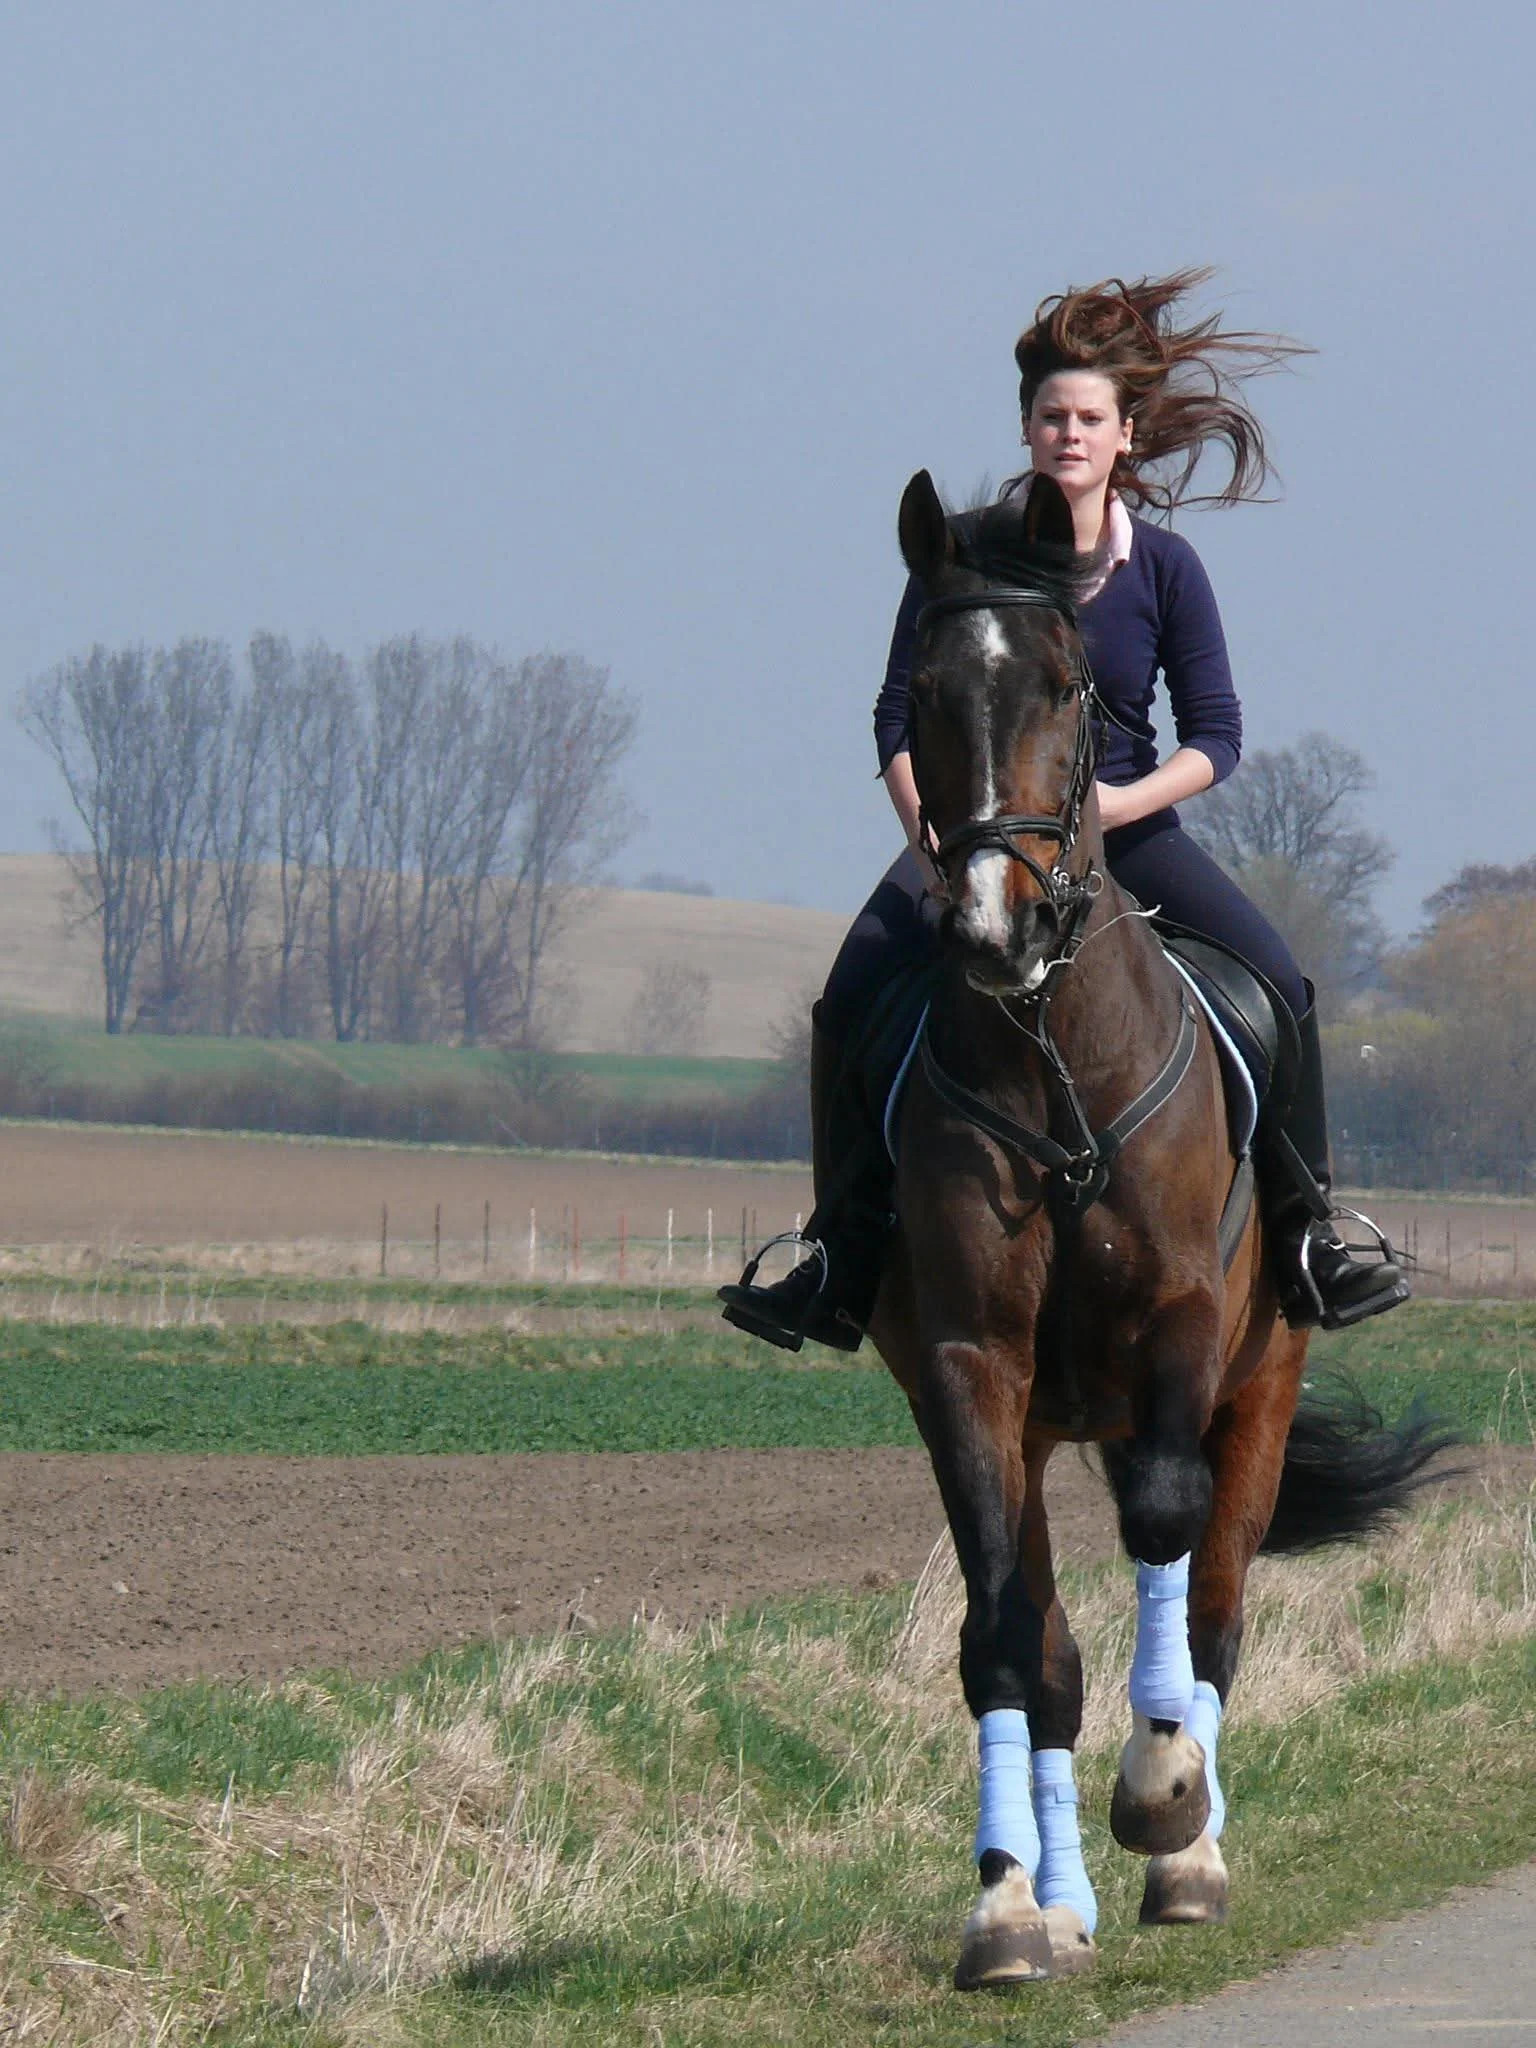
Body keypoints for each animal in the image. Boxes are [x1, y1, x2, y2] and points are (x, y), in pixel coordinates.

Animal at [864, 468, 1448, 1987]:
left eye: (1071, 685)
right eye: (926, 690)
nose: (993, 927)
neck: (1052, 1058)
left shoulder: (1183, 1325)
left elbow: (1174, 1543)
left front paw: (1166, 1797)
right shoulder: (969, 1365)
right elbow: (1008, 1638)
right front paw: (1007, 1909)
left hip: (1259, 1378)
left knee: (1218, 1600)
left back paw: (1190, 1850)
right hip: (1045, 1414)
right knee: (1060, 1639)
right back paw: (1063, 1894)